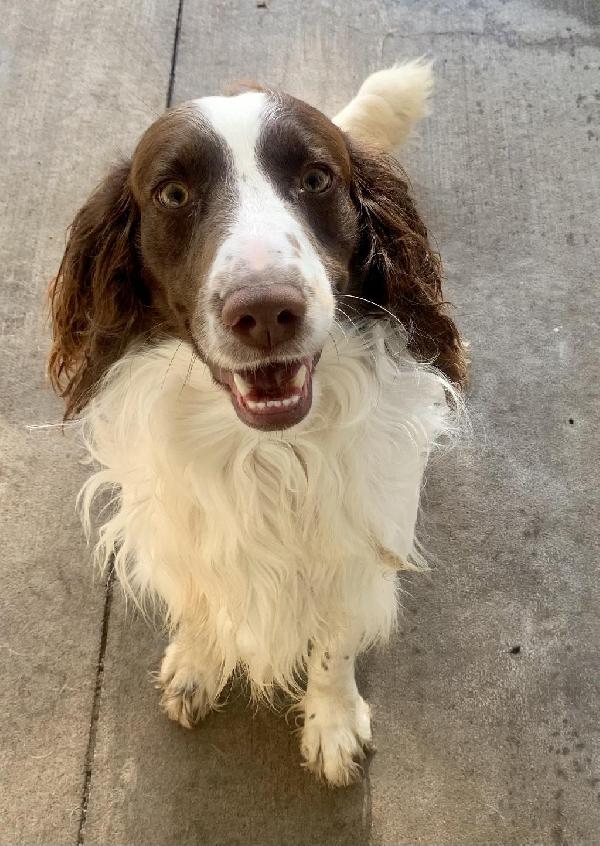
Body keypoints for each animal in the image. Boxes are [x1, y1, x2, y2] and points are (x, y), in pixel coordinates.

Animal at [49, 59, 466, 788]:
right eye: (174, 193)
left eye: (316, 178)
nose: (267, 311)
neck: (264, 452)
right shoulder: (179, 520)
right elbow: (199, 599)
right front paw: (196, 664)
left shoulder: (353, 542)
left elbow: (333, 641)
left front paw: (332, 720)